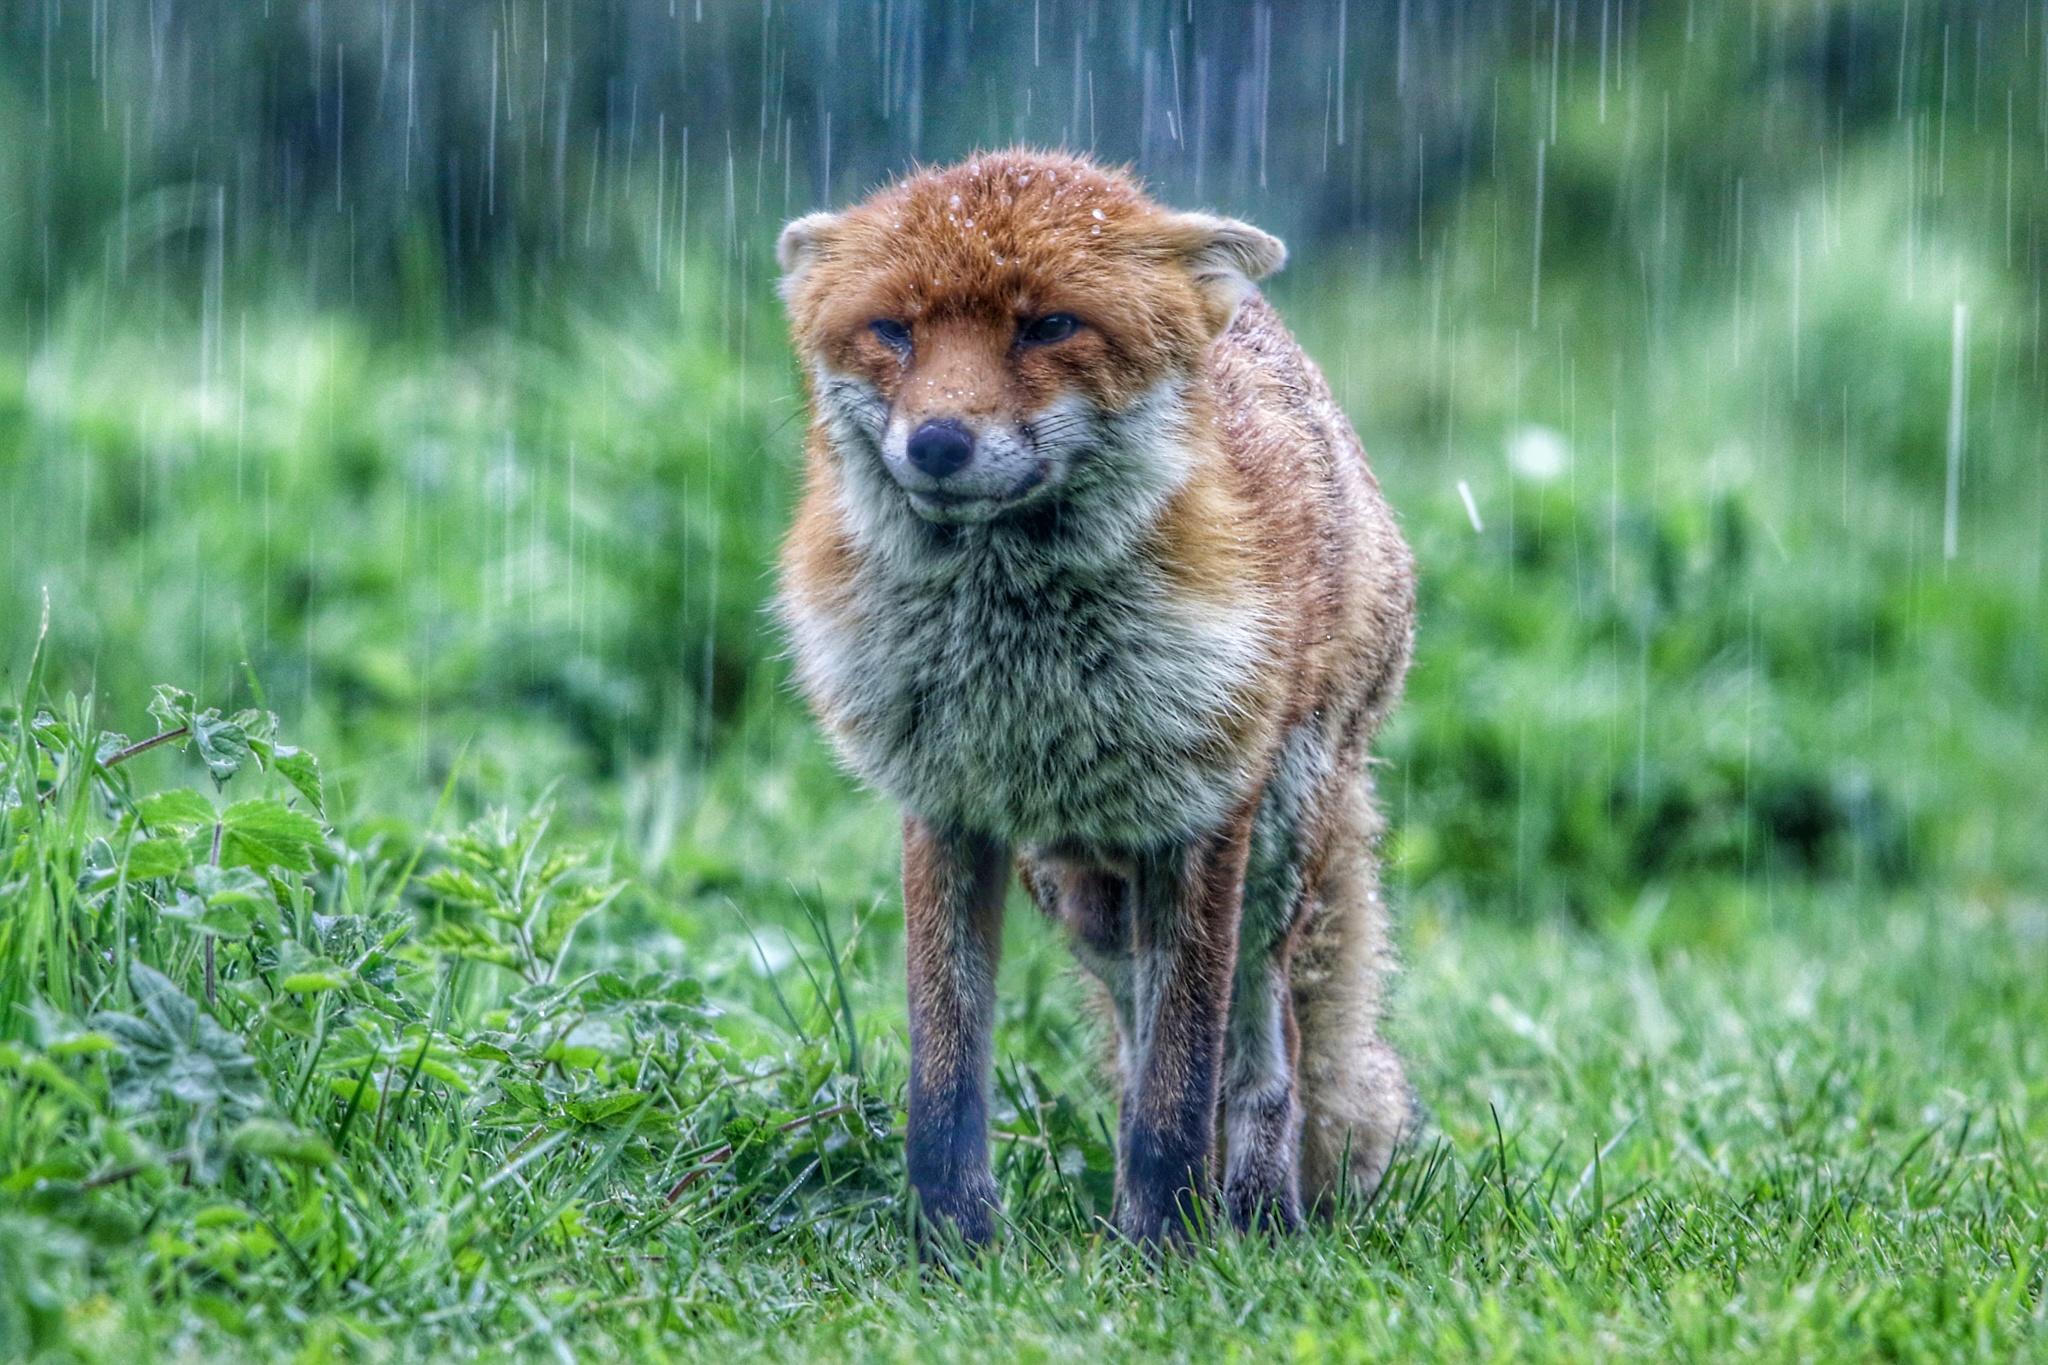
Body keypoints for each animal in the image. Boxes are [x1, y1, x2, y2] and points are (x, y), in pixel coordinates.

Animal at [774, 149, 1417, 1252]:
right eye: (893, 330)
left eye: (1047, 327)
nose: (937, 443)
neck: (1020, 666)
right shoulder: (946, 809)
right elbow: (945, 1075)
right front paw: (954, 1248)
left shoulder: (1203, 815)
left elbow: (1180, 1080)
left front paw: (1164, 1249)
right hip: (1079, 892)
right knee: (1135, 1021)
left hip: (1275, 850)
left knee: (1267, 1042)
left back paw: (1256, 1214)